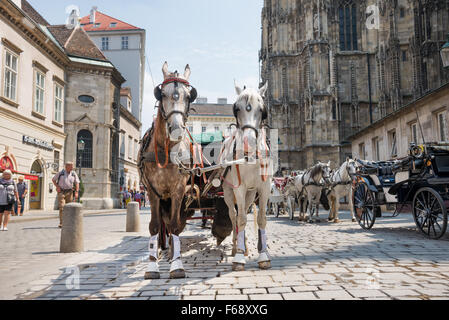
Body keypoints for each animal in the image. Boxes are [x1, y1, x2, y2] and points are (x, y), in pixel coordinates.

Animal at [139, 61, 197, 278]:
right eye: (161, 93)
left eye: (189, 96)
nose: (177, 129)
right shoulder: (152, 191)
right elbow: (155, 226)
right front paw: (152, 266)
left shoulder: (178, 190)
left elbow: (175, 226)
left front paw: (177, 264)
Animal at [220, 82, 272, 270]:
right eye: (237, 108)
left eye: (262, 109)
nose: (248, 142)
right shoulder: (239, 188)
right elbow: (241, 219)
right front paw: (239, 257)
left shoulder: (264, 187)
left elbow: (262, 219)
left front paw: (263, 255)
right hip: (228, 193)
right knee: (234, 216)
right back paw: (237, 247)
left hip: (250, 194)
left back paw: (246, 246)